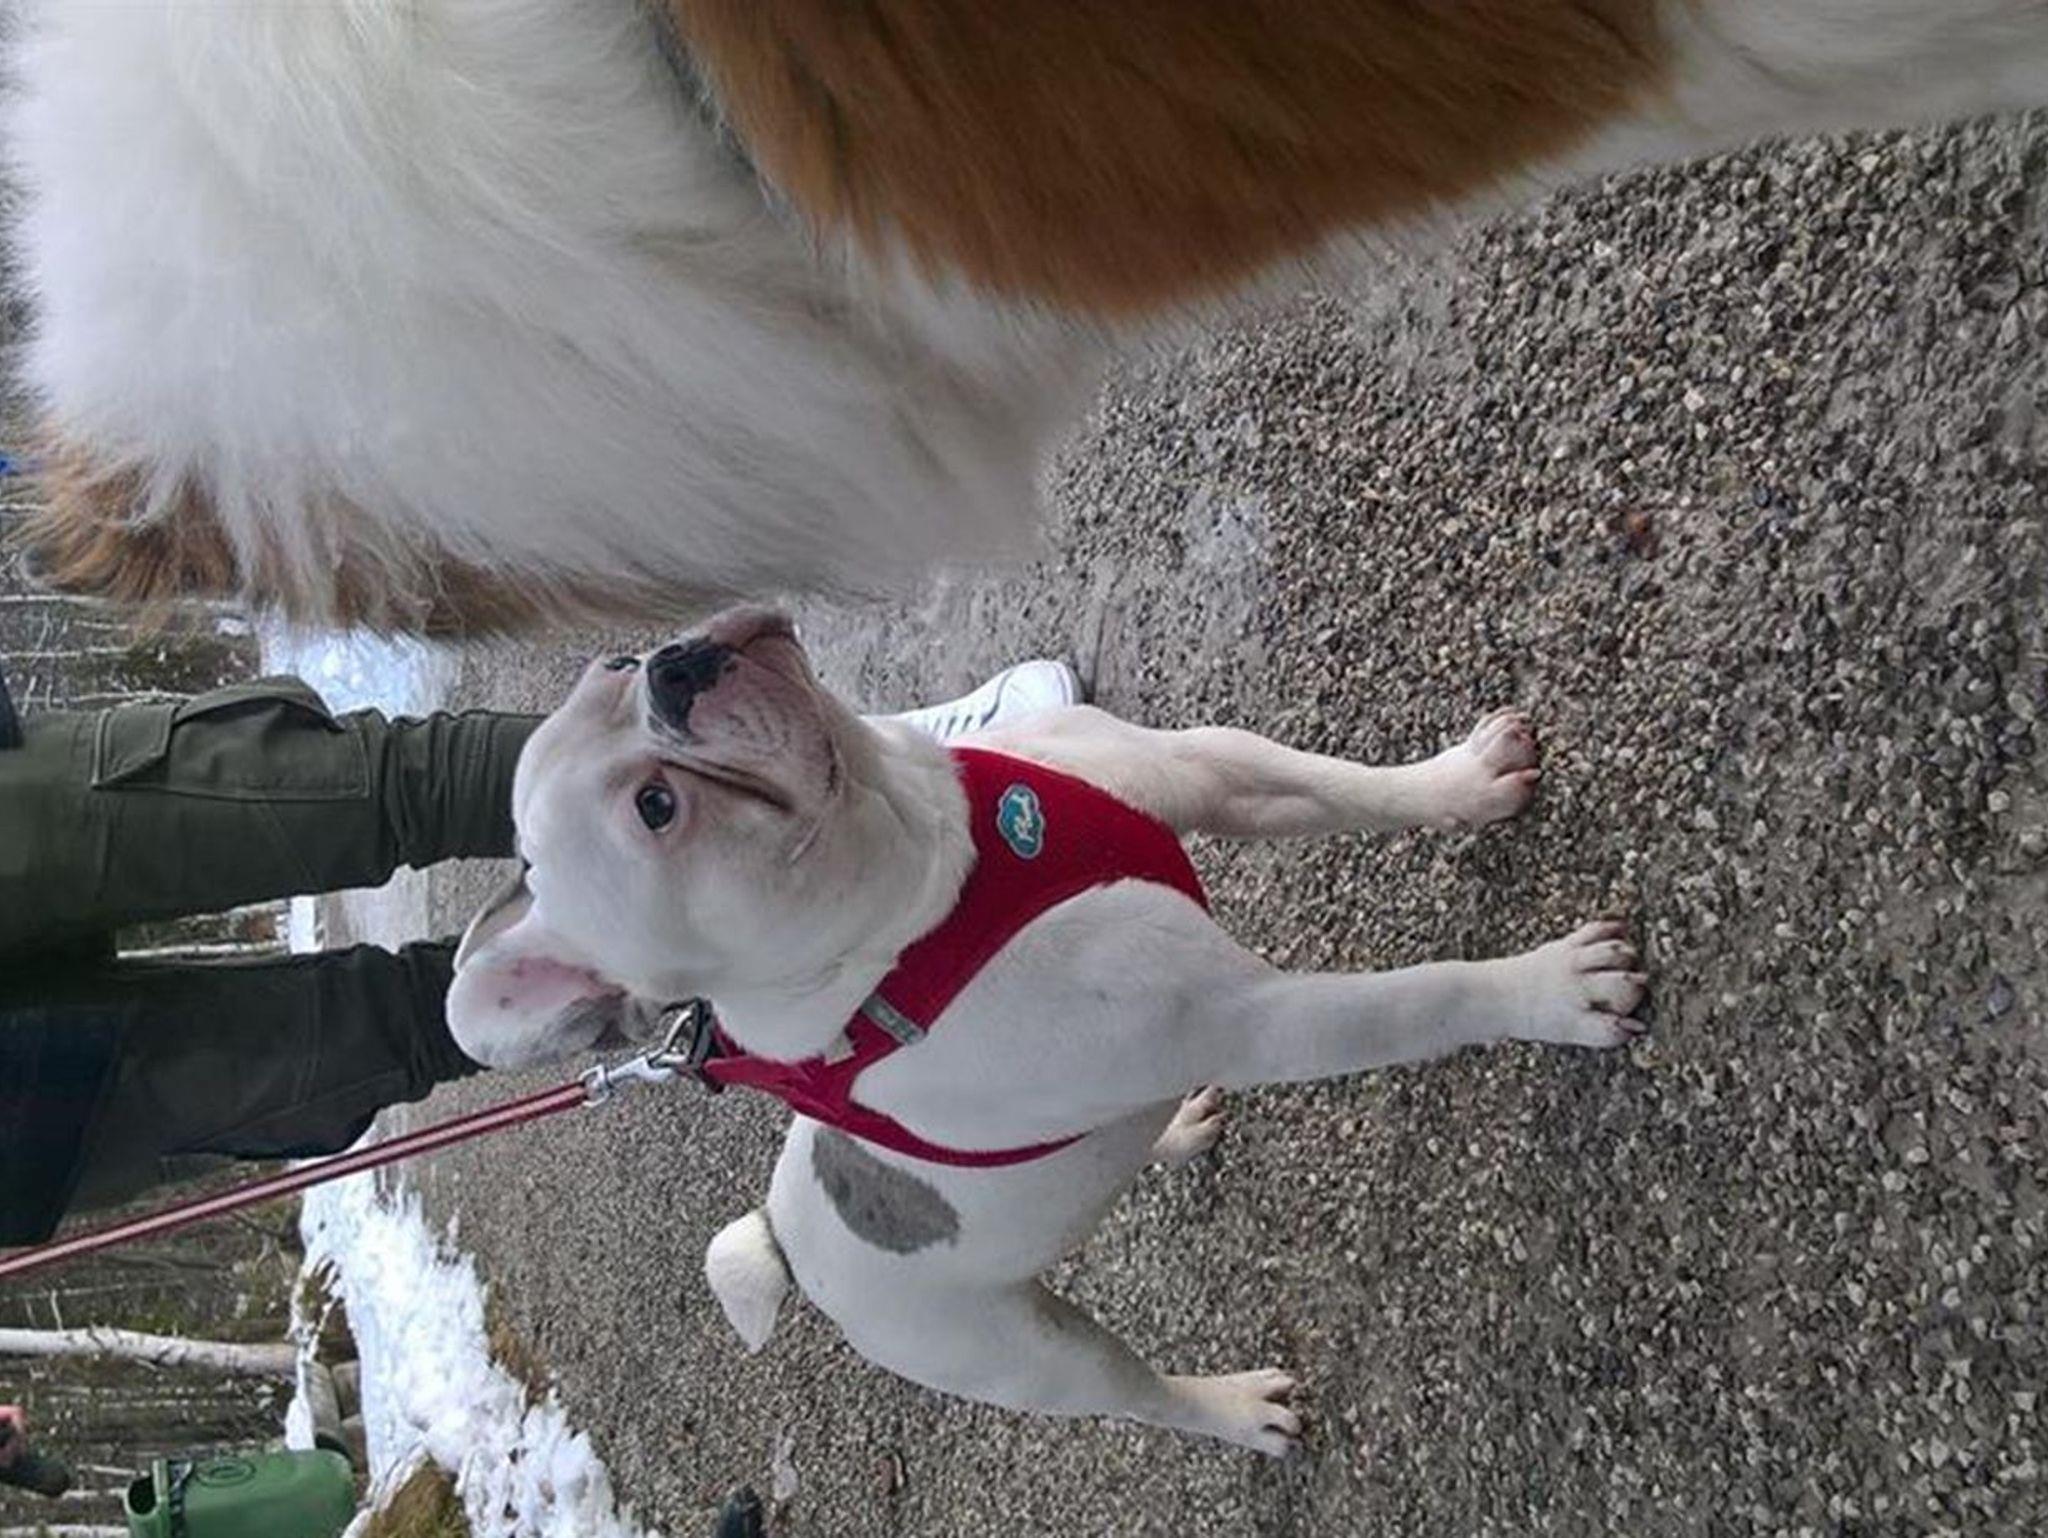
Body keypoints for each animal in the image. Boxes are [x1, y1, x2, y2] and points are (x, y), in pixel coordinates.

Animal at [444, 606, 1648, 1452]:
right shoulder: (1253, 1018)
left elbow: (1347, 786)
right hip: (1033, 1359)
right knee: (1133, 1391)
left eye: (613, 667)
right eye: (658, 809)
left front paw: (1468, 782)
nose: (671, 664)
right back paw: (1233, 1410)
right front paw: (1553, 989)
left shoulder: (1206, 767)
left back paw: (1170, 1129)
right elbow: (1422, 997)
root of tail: (785, 1238)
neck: (938, 870)